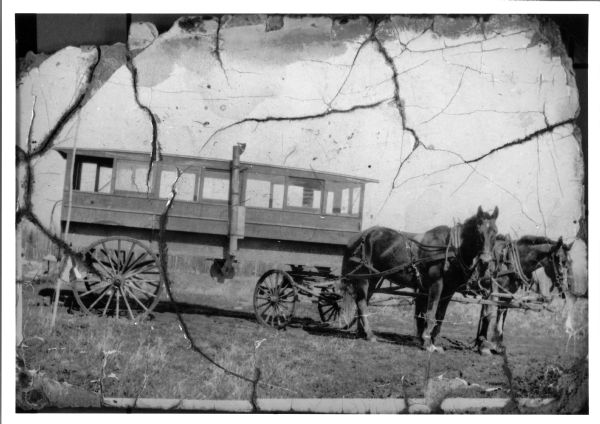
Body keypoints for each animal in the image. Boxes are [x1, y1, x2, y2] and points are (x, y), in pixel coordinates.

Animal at [340, 205, 500, 352]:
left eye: (495, 232)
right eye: (478, 232)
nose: (485, 261)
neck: (451, 249)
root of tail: (358, 237)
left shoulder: (449, 290)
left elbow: (439, 315)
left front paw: (432, 341)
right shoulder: (436, 285)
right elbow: (430, 312)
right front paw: (428, 342)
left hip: (373, 278)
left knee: (364, 301)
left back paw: (362, 332)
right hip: (362, 277)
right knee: (361, 302)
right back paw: (369, 334)